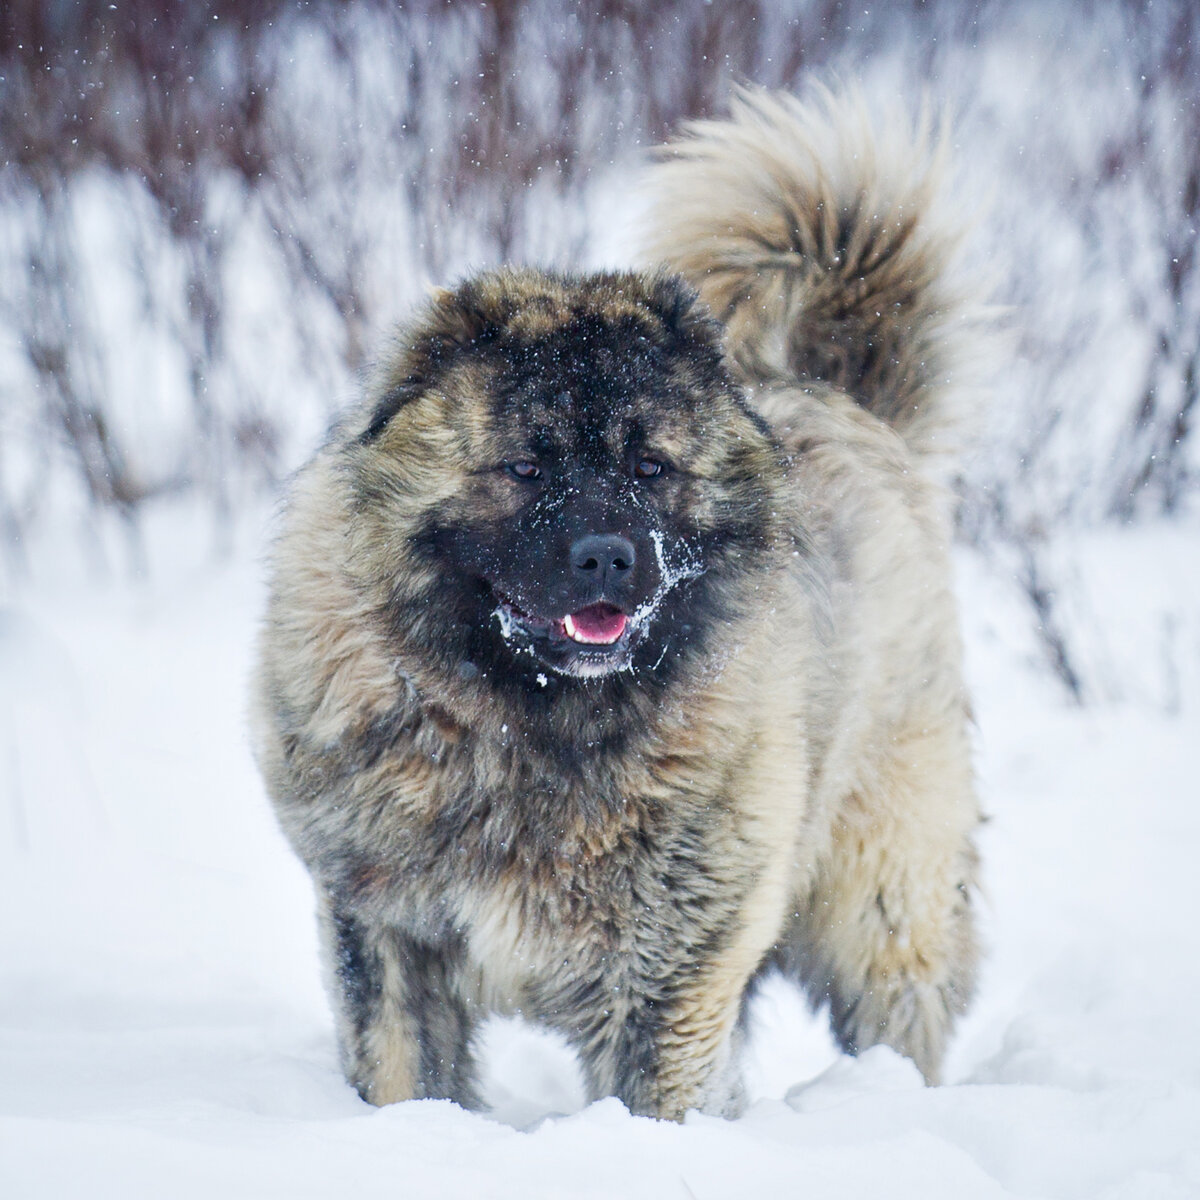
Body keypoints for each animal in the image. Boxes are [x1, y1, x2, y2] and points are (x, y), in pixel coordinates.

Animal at [250, 88, 984, 1118]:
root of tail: (845, 403)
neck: (524, 732)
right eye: (526, 467)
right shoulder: (389, 933)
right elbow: (401, 1078)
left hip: (879, 899)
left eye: (649, 467)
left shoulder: (671, 974)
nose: (606, 558)